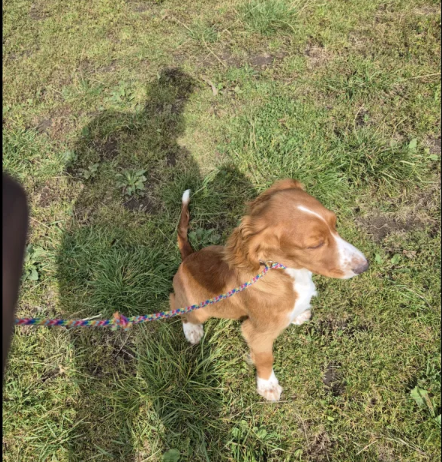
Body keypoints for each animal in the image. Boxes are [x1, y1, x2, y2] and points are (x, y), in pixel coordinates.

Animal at [170, 180, 370, 400]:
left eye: (335, 224)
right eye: (315, 244)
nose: (364, 266)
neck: (286, 272)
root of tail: (188, 256)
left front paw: (299, 314)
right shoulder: (257, 333)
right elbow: (266, 359)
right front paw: (268, 385)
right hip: (199, 308)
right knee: (175, 303)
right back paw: (192, 329)